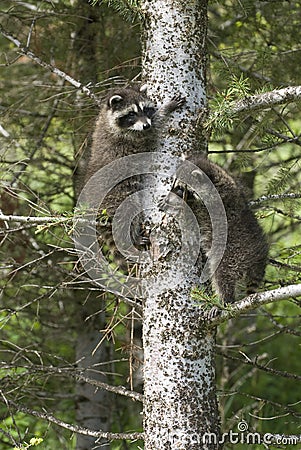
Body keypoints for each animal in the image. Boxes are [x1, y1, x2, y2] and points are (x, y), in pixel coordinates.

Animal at [83, 84, 184, 270]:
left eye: (145, 109)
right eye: (131, 114)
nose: (145, 125)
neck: (107, 118)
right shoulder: (129, 137)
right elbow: (154, 129)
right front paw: (165, 109)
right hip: (117, 198)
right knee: (126, 216)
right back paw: (132, 238)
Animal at [164, 156, 268, 304]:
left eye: (179, 188)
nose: (166, 200)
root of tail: (257, 258)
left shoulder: (213, 202)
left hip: (230, 255)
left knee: (222, 277)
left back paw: (225, 300)